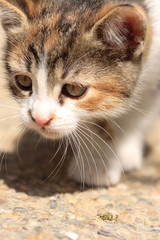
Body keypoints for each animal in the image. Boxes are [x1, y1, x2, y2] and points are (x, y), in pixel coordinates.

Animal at [0, 0, 159, 187]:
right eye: (24, 80)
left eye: (74, 89)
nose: (40, 119)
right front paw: (96, 164)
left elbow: (140, 113)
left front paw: (124, 151)